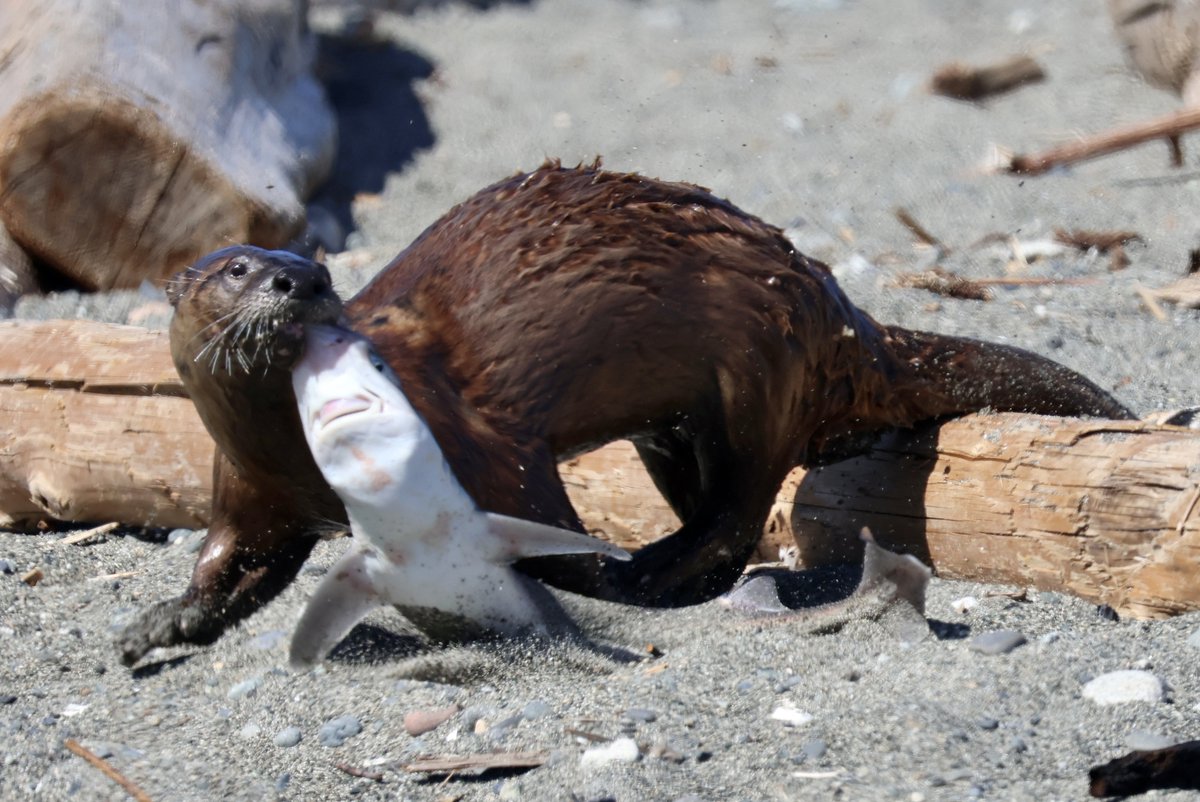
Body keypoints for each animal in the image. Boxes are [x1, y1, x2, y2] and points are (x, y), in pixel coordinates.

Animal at [119, 162, 1133, 665]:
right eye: (237, 268)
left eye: (322, 269)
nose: (298, 282)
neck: (288, 451)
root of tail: (841, 316)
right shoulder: (251, 488)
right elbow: (232, 567)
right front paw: (156, 628)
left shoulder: (479, 442)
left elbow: (538, 510)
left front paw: (585, 576)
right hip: (684, 422)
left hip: (755, 364)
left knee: (738, 511)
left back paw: (647, 572)